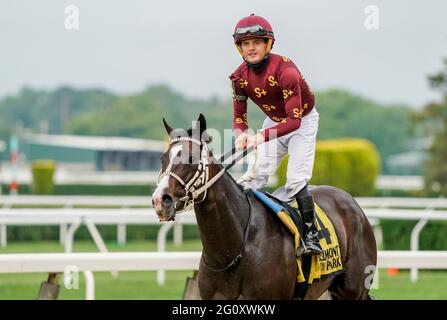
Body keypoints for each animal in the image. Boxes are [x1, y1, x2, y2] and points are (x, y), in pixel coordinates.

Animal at [152, 115, 376, 300]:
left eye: (191, 159)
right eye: (162, 159)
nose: (160, 200)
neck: (232, 250)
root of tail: (351, 201)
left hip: (354, 289)